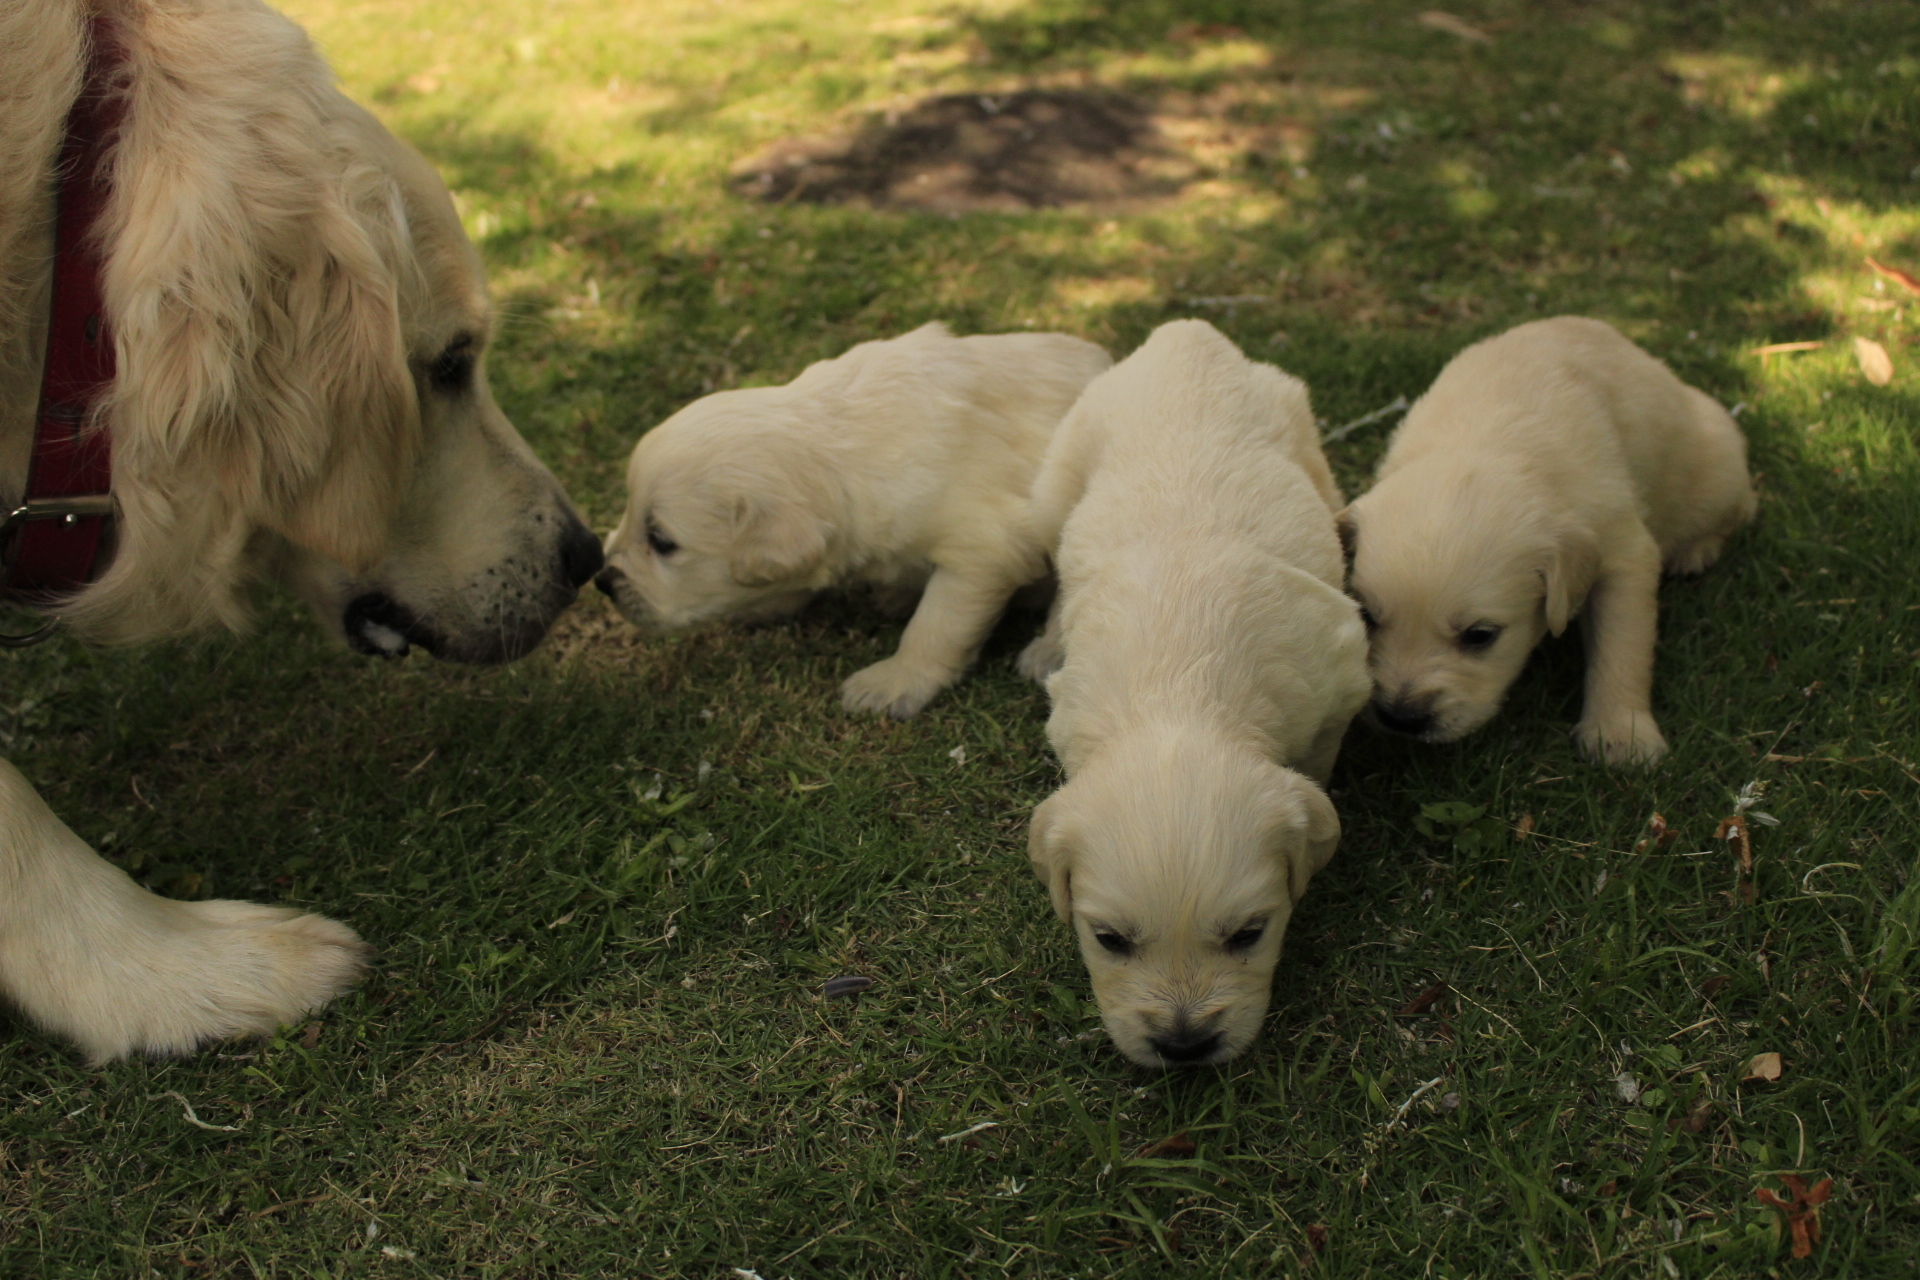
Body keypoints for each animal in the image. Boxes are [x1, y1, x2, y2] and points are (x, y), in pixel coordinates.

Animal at [595, 320, 1113, 717]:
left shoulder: (984, 550)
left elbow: (936, 627)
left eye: (661, 541)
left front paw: (894, 683)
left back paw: (1047, 651)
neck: (833, 454)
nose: (601, 580)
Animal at [1021, 320, 1367, 1074]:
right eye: (1110, 940)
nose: (1183, 1046)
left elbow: (1320, 765)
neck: (1181, 690)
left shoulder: (1339, 673)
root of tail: (1186, 334)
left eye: (1248, 933)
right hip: (1057, 481)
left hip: (1306, 442)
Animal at [1336, 314, 1758, 767]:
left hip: (1714, 469)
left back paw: (1697, 551)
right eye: (1368, 617)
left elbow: (1621, 646)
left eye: (1480, 635)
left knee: (1737, 508)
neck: (1493, 445)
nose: (1401, 716)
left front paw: (1621, 735)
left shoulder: (1623, 553)